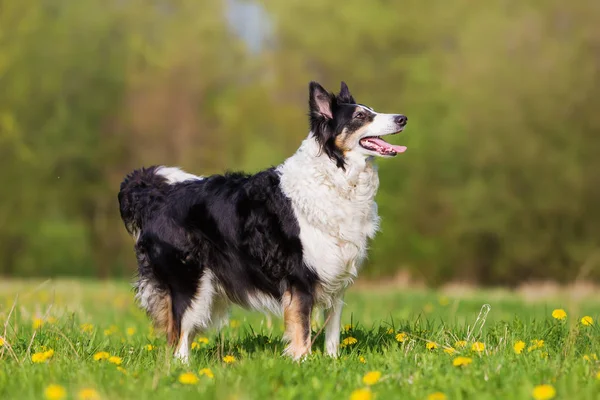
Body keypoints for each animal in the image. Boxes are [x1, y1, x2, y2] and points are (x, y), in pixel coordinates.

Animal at [117, 79, 408, 360]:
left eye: (370, 111)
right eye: (360, 116)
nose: (403, 118)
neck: (334, 173)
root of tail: (156, 197)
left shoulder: (335, 278)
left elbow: (332, 331)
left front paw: (332, 362)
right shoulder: (300, 278)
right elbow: (302, 330)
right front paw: (302, 363)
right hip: (189, 284)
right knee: (178, 339)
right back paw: (184, 370)